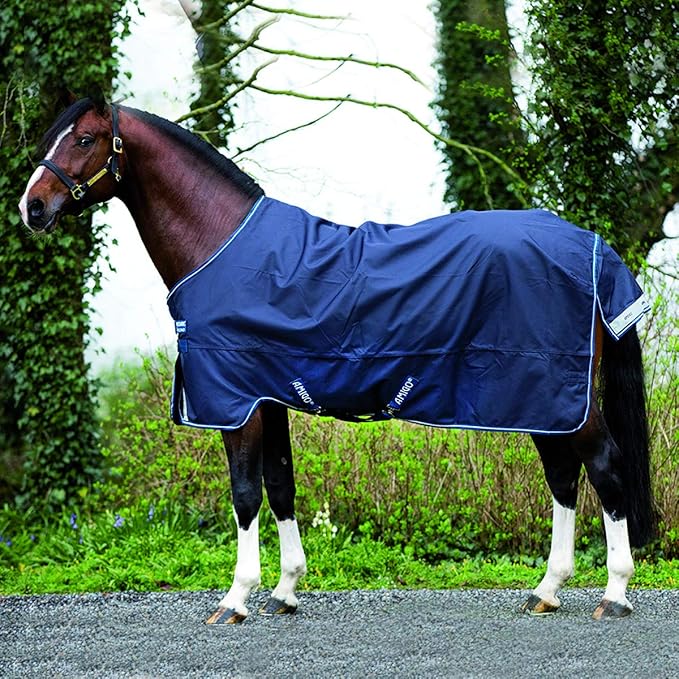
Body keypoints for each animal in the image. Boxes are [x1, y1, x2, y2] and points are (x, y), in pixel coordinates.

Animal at [19, 97, 655, 623]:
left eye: (83, 140)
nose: (33, 208)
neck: (221, 244)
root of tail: (593, 248)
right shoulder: (269, 398)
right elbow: (280, 486)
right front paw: (285, 591)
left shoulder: (237, 403)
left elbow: (244, 494)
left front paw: (236, 599)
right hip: (545, 401)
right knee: (564, 478)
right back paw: (547, 590)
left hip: (560, 397)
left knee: (604, 467)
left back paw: (615, 594)